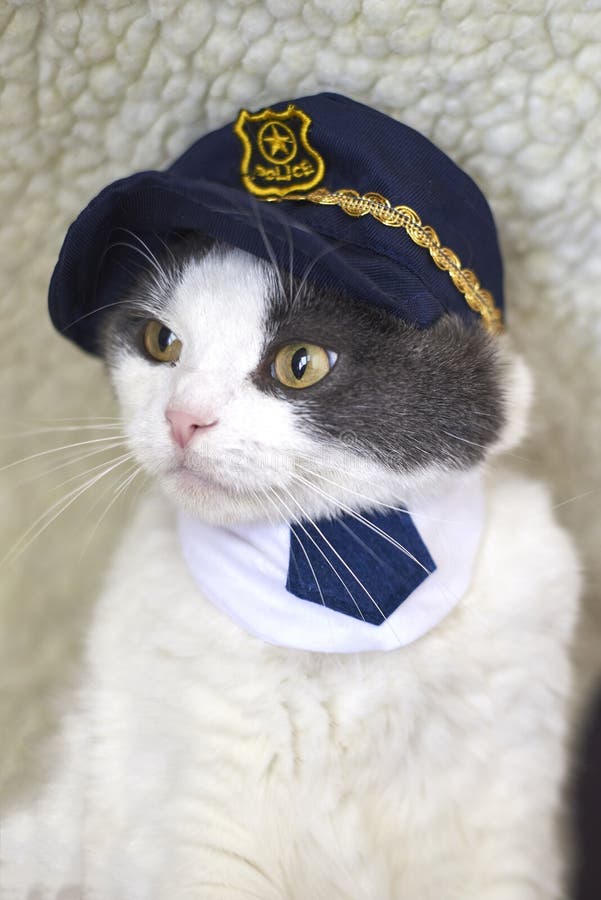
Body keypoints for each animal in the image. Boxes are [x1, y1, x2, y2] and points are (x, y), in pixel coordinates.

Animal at [1, 234, 580, 900]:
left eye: (300, 363)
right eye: (160, 341)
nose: (183, 416)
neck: (347, 591)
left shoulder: (503, 810)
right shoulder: (191, 816)